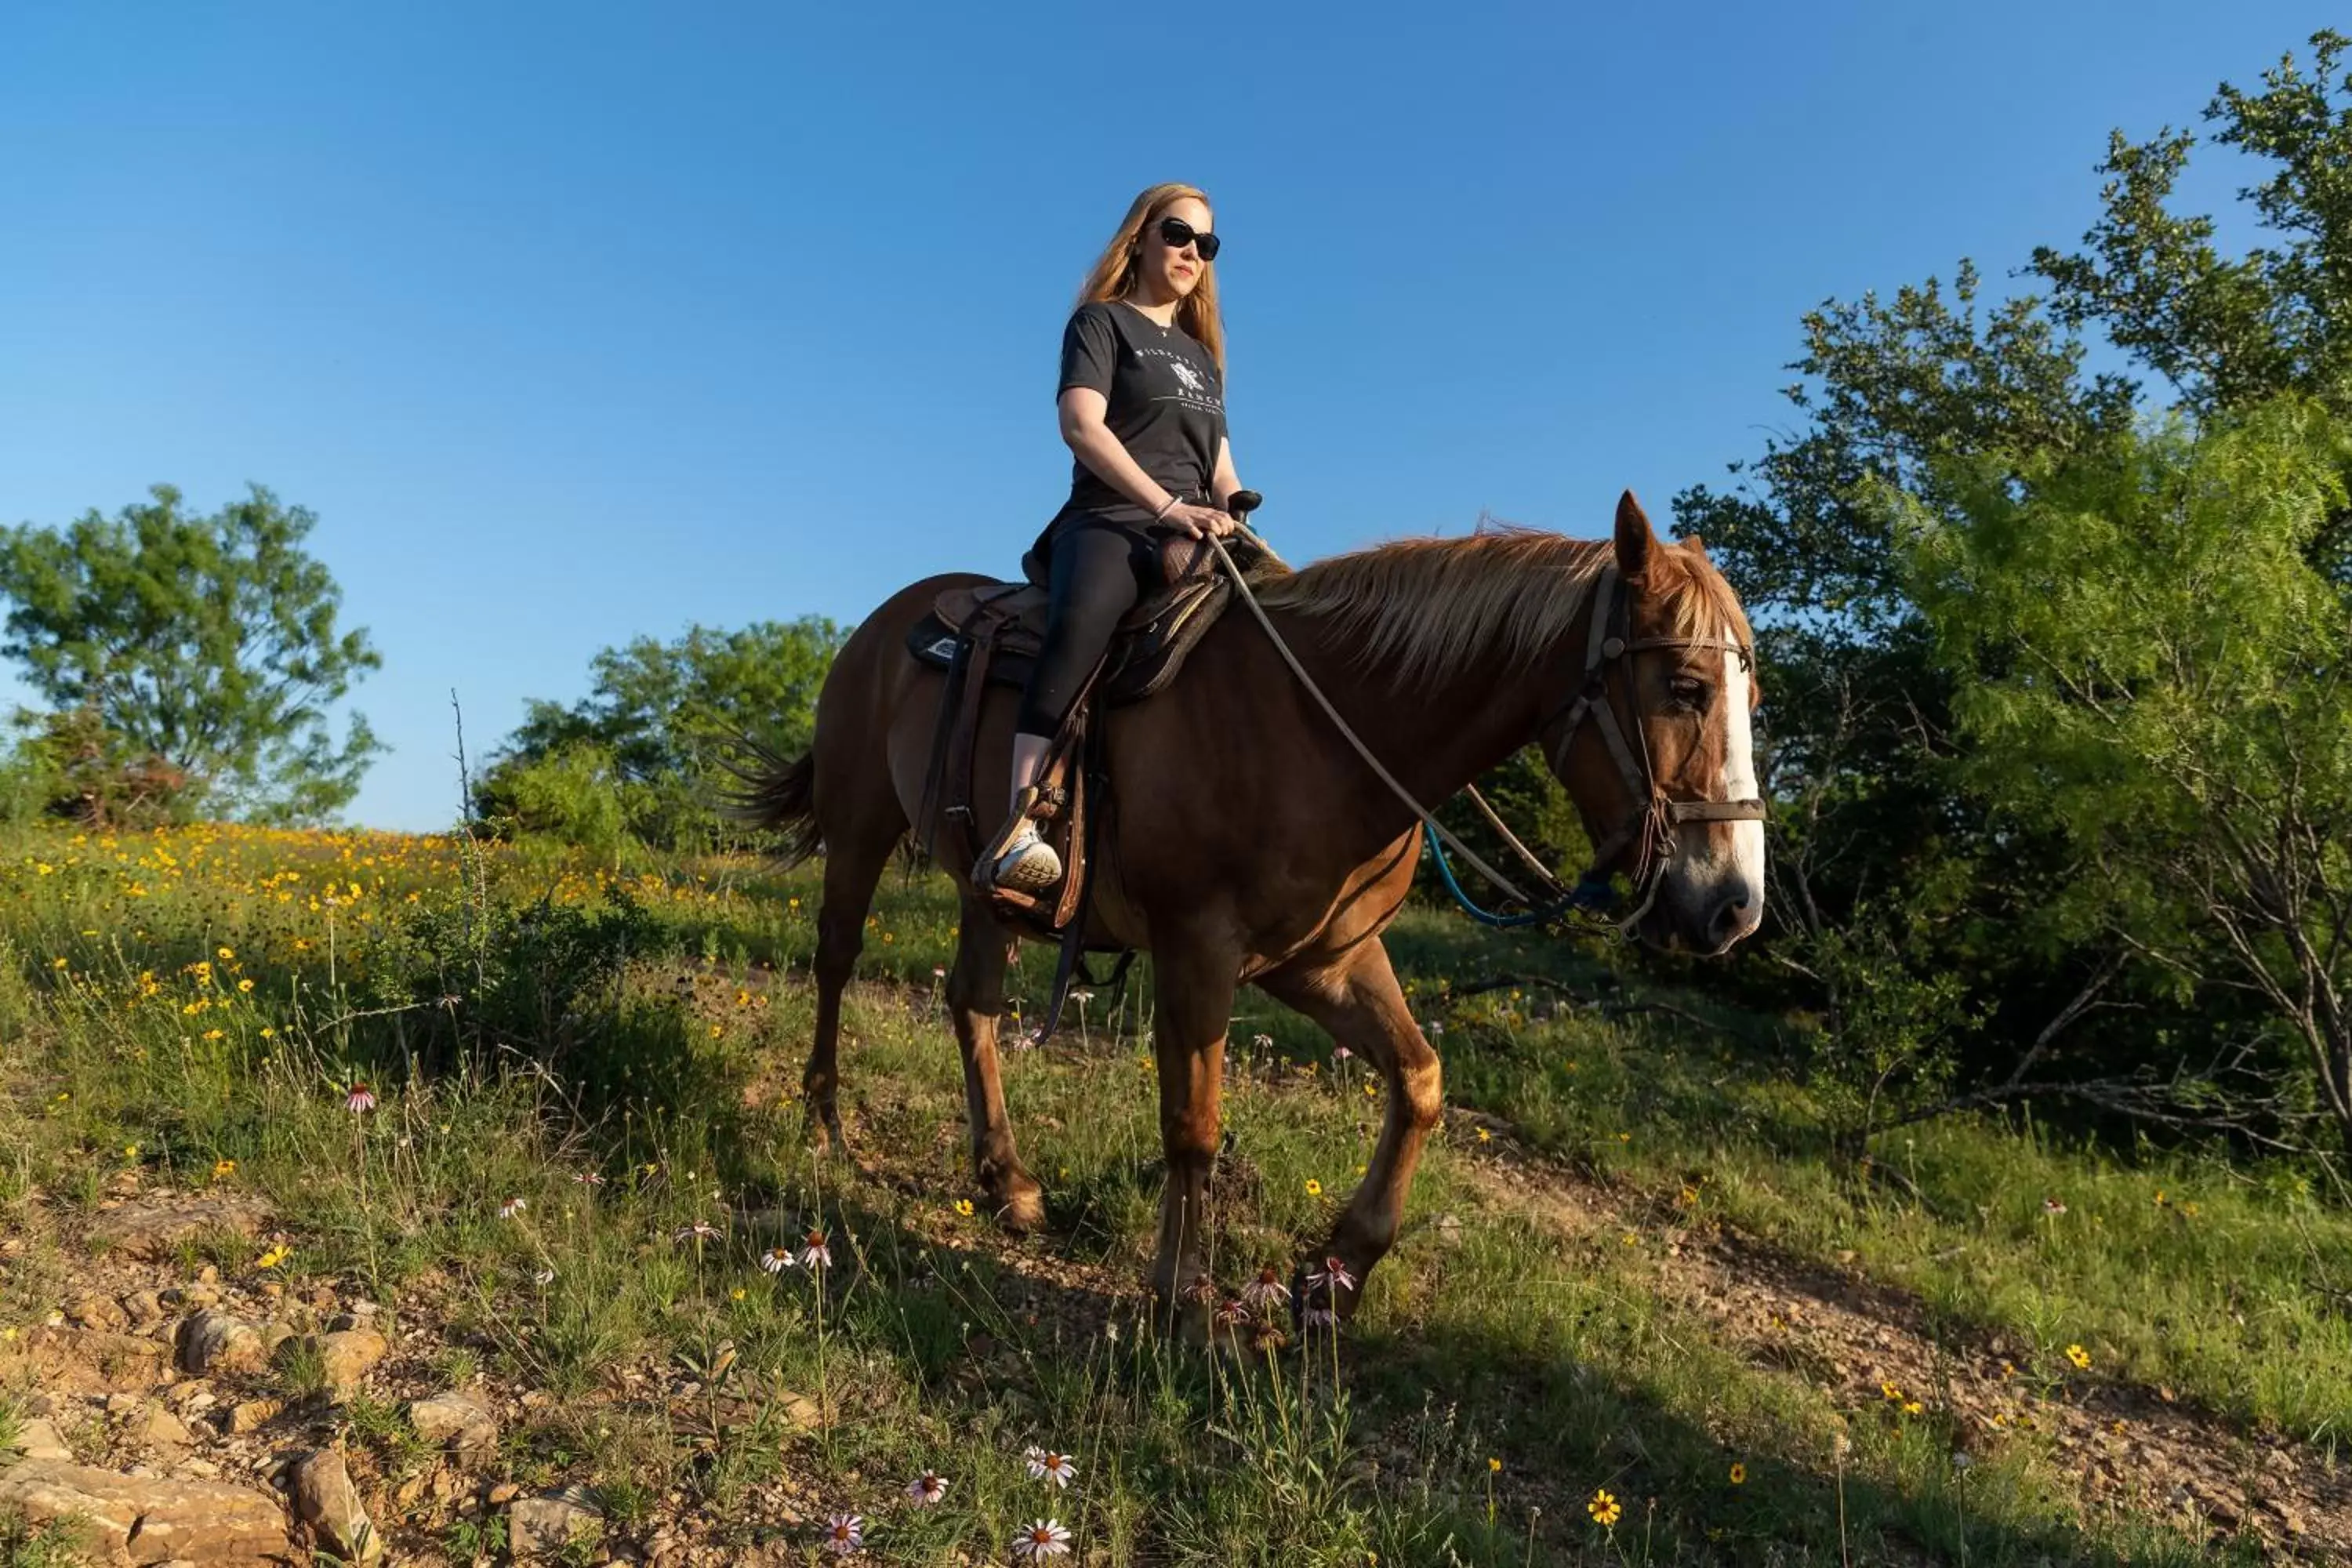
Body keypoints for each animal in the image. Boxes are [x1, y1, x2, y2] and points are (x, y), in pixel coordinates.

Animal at [739, 491, 1769, 1326]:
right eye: (1685, 686)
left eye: (1749, 689)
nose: (1734, 908)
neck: (1318, 731)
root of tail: (892, 617)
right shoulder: (1196, 947)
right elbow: (1193, 1122)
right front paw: (1179, 1291)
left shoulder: (1326, 959)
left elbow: (1422, 1079)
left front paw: (1334, 1273)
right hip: (860, 828)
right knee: (836, 959)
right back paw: (825, 1122)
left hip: (980, 884)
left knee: (974, 1004)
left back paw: (1008, 1182)